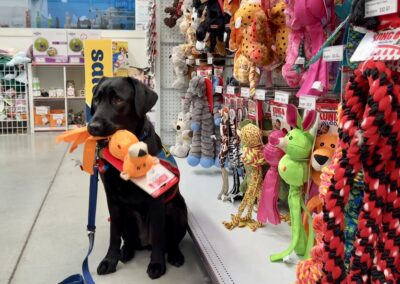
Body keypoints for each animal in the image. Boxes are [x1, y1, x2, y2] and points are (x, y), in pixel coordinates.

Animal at [87, 77, 188, 280]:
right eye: (97, 100)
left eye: (118, 100)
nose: (92, 127)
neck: (125, 154)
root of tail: (144, 243)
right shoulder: (112, 199)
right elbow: (114, 234)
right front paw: (110, 260)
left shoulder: (156, 197)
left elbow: (158, 235)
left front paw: (157, 264)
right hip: (127, 215)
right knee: (128, 240)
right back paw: (126, 251)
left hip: (177, 210)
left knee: (170, 242)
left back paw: (174, 255)